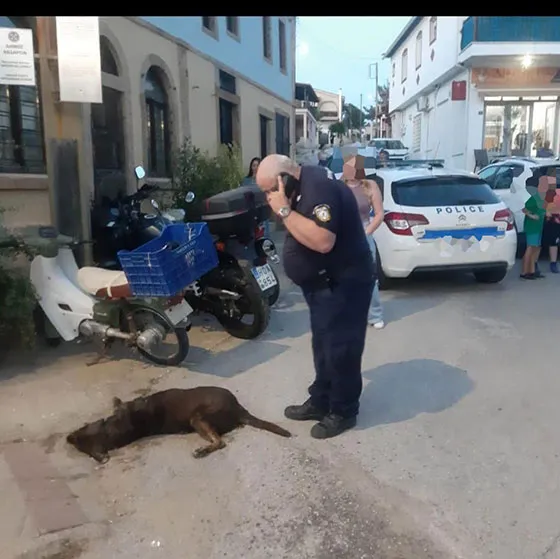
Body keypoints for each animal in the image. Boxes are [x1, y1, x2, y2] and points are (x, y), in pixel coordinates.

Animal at [68, 388, 290, 462]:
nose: (71, 438)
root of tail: (239, 409)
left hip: (198, 418)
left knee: (219, 442)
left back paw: (203, 450)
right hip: (198, 419)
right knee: (219, 441)